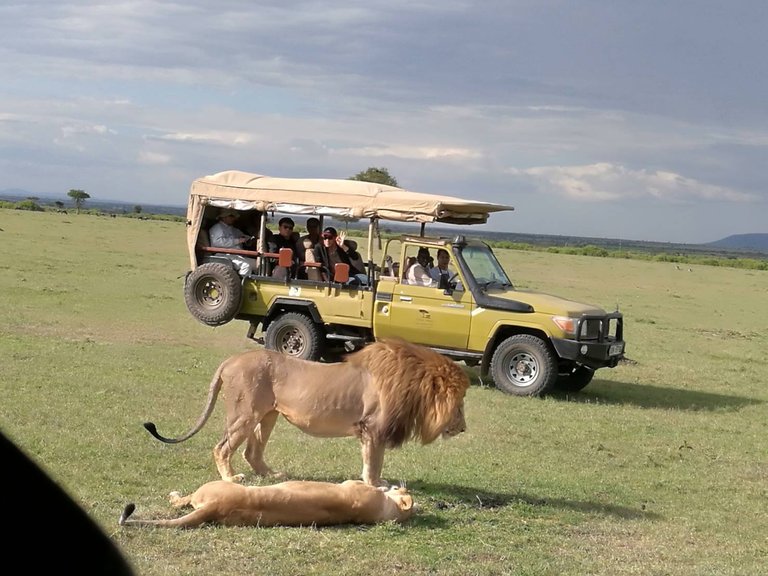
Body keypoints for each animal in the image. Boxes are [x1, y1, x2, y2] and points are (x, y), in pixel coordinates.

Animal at [144, 338, 468, 486]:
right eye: (460, 403)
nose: (464, 428)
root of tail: (231, 360)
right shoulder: (372, 428)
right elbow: (374, 463)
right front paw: (376, 485)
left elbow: (372, 461)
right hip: (245, 414)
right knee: (222, 447)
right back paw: (231, 479)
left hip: (267, 415)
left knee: (252, 451)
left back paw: (272, 475)